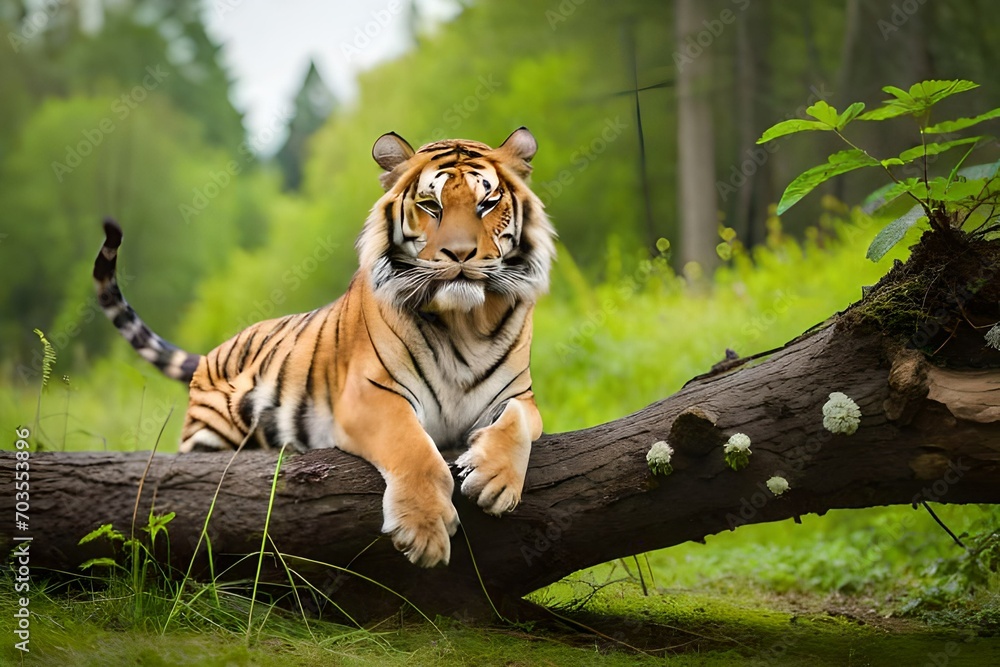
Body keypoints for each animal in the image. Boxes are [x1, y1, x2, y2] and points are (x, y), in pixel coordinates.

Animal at [92, 127, 556, 568]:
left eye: (487, 203)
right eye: (430, 205)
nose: (460, 254)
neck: (464, 323)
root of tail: (210, 354)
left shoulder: (520, 395)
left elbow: (518, 421)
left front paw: (494, 481)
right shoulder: (370, 396)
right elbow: (415, 449)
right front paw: (423, 530)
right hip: (210, 431)